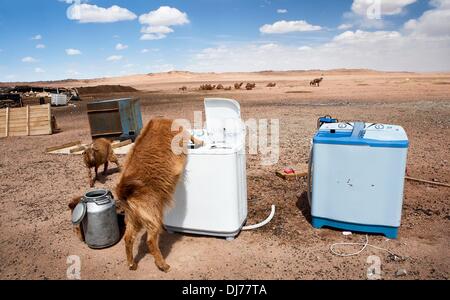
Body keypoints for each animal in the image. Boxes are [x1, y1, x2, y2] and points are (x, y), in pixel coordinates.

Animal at [116, 118, 202, 272]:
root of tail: (123, 190)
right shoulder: (182, 133)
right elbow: (190, 136)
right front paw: (200, 141)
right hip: (153, 214)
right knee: (150, 241)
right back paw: (163, 264)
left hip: (133, 218)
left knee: (128, 238)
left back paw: (131, 263)